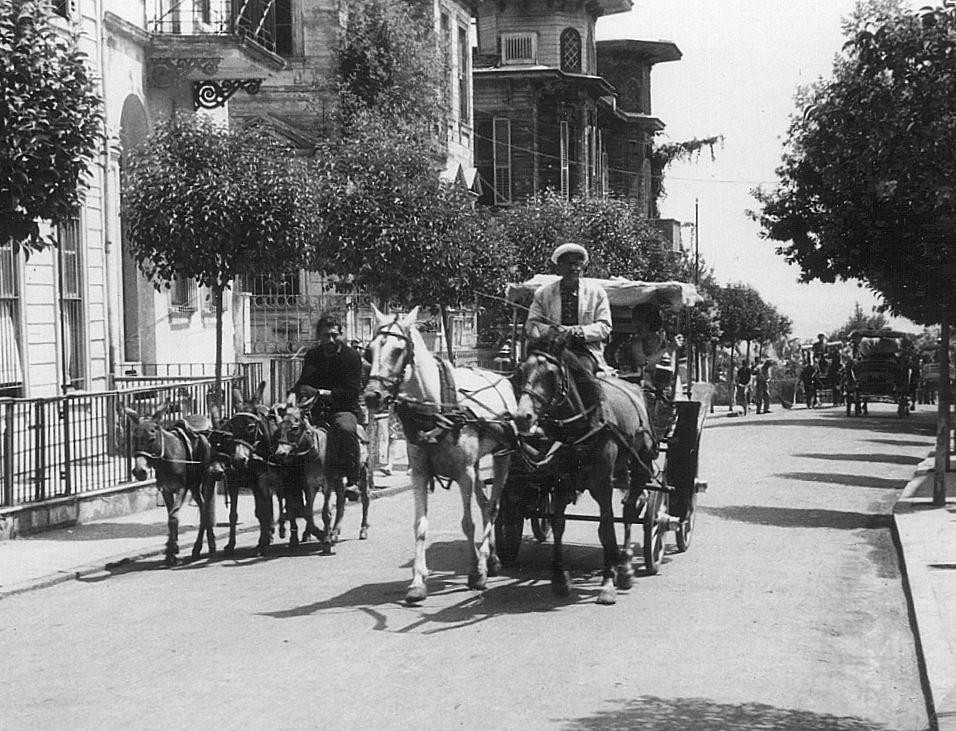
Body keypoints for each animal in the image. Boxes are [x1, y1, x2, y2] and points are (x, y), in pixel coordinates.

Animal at [121, 400, 217, 568]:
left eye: (152, 439)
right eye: (134, 438)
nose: (139, 472)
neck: (167, 458)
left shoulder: (181, 488)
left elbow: (173, 517)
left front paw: (172, 550)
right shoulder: (165, 489)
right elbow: (169, 517)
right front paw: (170, 551)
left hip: (206, 481)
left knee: (206, 509)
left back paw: (204, 546)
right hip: (194, 486)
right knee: (203, 507)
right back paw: (202, 546)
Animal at [364, 306, 516, 604]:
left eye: (398, 351)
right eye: (369, 351)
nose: (372, 396)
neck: (434, 411)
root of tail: (501, 376)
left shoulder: (464, 474)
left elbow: (468, 524)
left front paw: (475, 572)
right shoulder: (421, 474)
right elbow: (420, 526)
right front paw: (417, 582)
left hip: (502, 456)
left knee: (493, 506)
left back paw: (486, 560)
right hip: (478, 464)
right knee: (485, 504)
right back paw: (491, 558)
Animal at [516, 346, 656, 604]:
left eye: (551, 374)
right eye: (521, 371)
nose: (523, 417)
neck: (582, 426)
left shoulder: (602, 484)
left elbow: (606, 529)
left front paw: (608, 581)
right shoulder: (560, 482)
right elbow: (558, 525)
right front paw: (560, 578)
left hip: (640, 464)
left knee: (630, 509)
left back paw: (625, 566)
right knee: (632, 502)